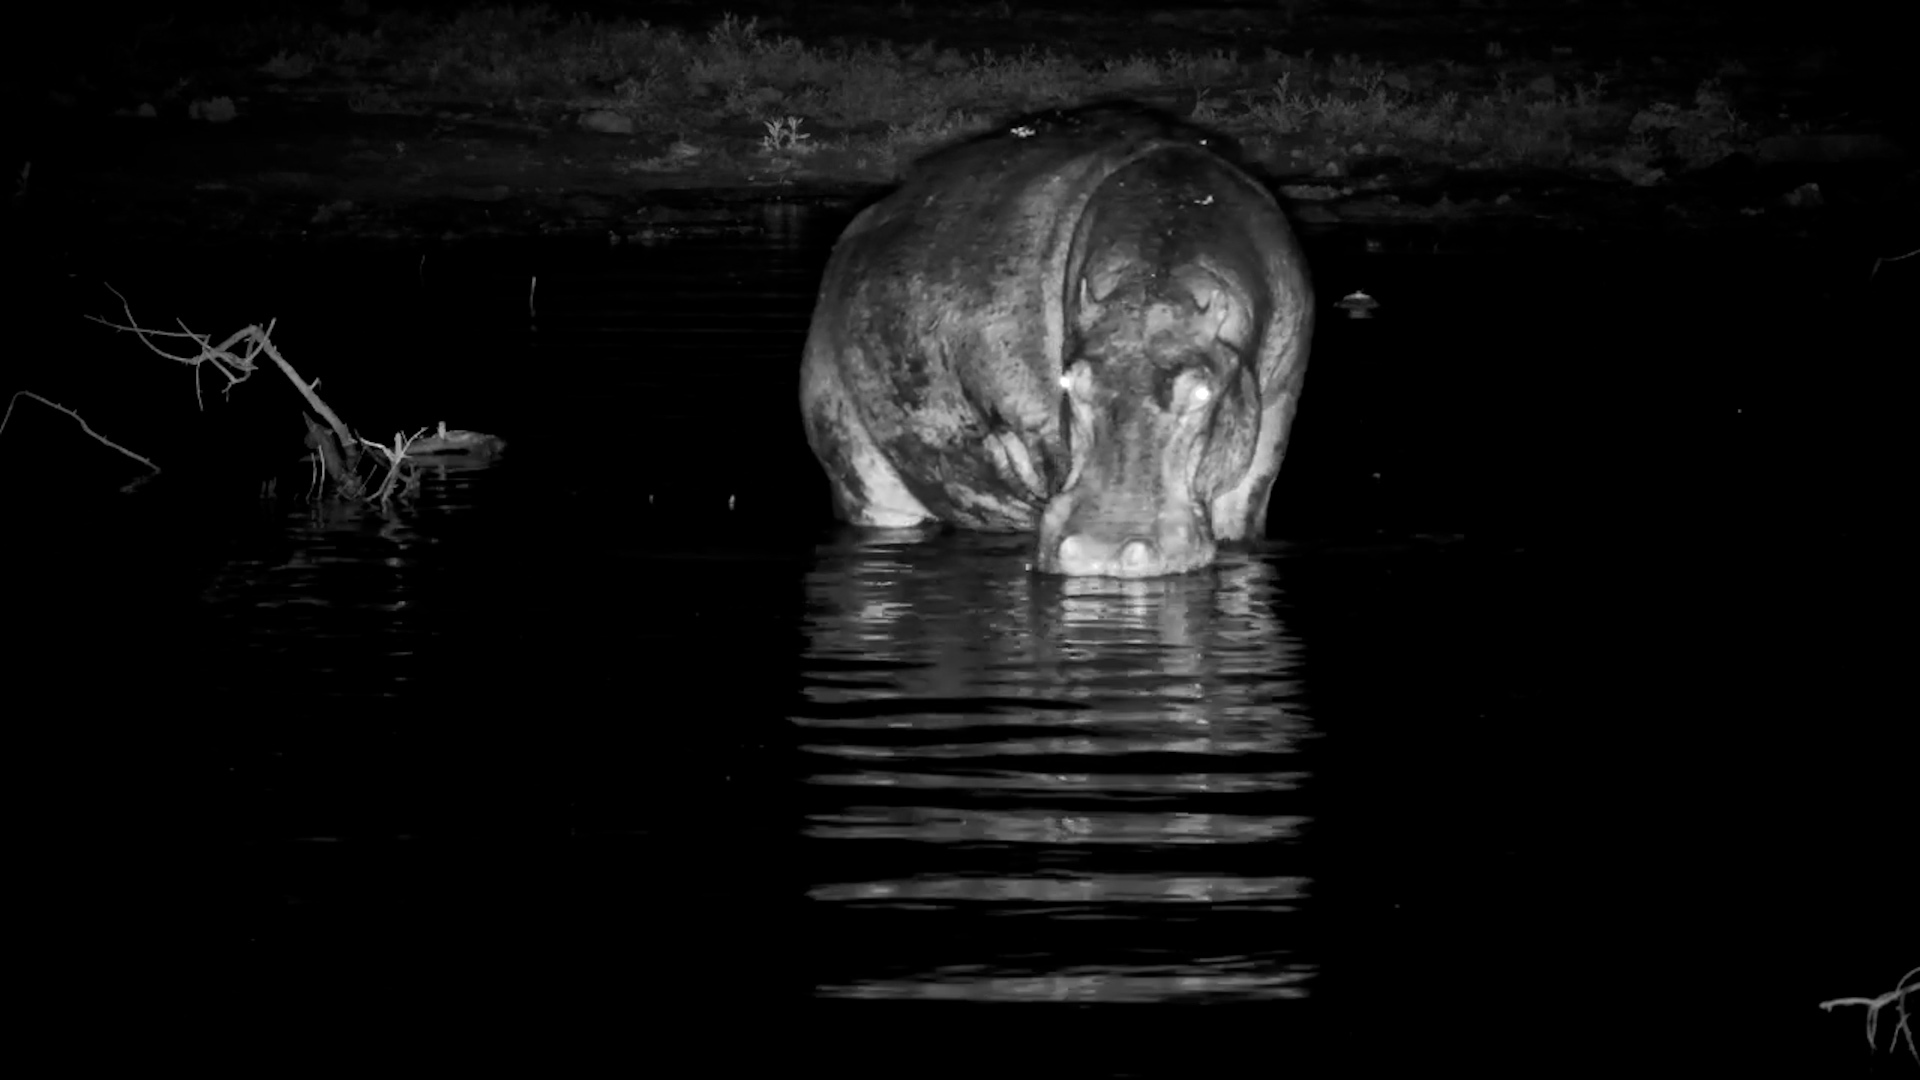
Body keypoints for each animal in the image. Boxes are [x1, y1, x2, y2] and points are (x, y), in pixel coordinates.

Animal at [799, 103, 1314, 577]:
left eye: (1204, 391)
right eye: (1069, 381)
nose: (1102, 549)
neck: (1153, 288)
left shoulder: (1270, 432)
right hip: (860, 479)